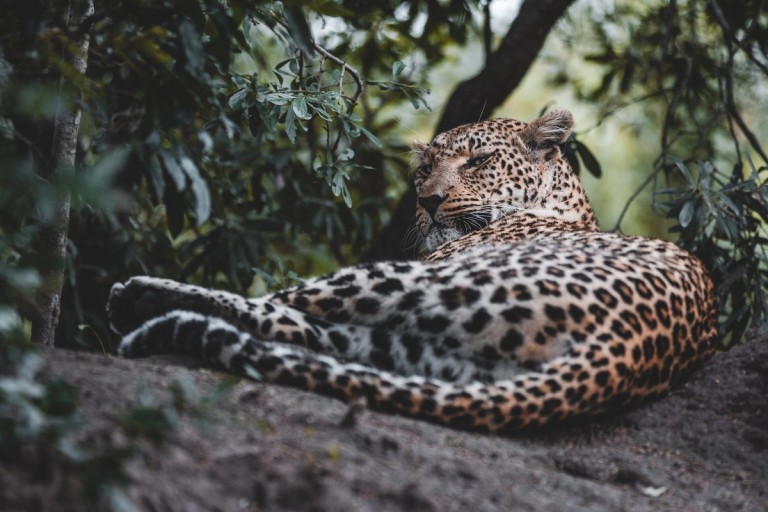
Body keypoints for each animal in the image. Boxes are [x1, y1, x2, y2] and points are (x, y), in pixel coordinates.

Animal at [107, 109, 718, 433]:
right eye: (424, 167)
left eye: (478, 161)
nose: (427, 200)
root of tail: (624, 348)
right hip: (425, 349)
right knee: (297, 332)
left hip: (408, 282)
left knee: (279, 307)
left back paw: (137, 300)